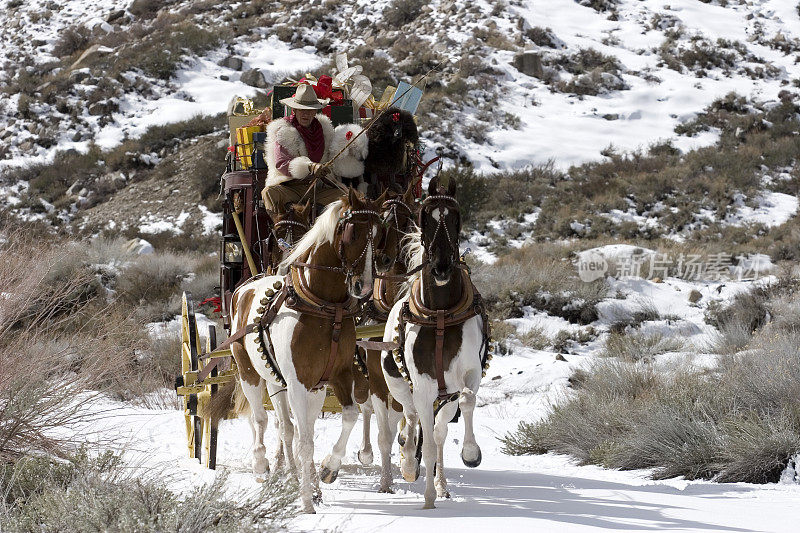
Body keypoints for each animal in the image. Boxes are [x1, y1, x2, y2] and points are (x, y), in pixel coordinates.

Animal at [225, 190, 388, 512]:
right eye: (351, 232)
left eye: (379, 234)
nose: (363, 286)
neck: (323, 307)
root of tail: (245, 288)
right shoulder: (298, 382)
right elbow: (303, 439)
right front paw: (305, 500)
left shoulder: (335, 376)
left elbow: (346, 417)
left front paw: (325, 471)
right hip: (249, 371)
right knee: (262, 420)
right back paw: (262, 466)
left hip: (281, 382)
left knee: (288, 427)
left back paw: (294, 474)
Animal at [382, 175, 488, 508]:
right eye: (424, 217)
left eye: (456, 217)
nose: (441, 267)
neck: (440, 312)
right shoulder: (423, 384)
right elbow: (424, 442)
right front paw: (427, 499)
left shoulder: (468, 374)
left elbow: (467, 401)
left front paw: (471, 453)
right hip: (399, 385)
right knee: (411, 417)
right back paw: (407, 460)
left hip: (445, 395)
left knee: (438, 432)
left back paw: (441, 484)